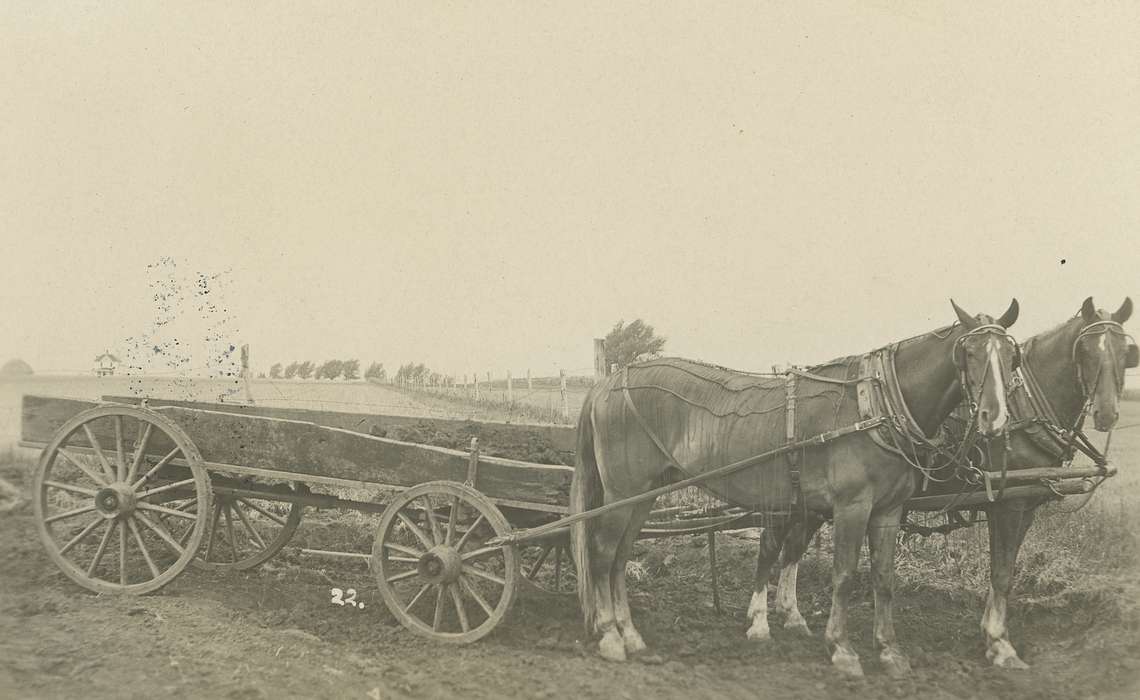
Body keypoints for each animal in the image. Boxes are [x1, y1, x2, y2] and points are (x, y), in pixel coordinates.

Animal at [574, 298, 1021, 679]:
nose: (994, 418)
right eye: (969, 353)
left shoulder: (888, 510)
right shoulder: (852, 506)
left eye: (1011, 357)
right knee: (602, 553)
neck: (873, 408)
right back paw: (611, 636)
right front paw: (842, 649)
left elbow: (884, 578)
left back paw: (631, 635)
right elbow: (844, 576)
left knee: (620, 558)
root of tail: (606, 383)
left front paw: (889, 651)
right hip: (621, 493)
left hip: (645, 495)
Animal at [766, 296, 1130, 670]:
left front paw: (990, 633)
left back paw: (791, 615)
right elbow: (1001, 573)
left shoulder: (1025, 504)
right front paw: (1000, 644)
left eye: (1126, 351)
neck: (1025, 410)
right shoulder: (1009, 504)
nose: (1106, 414)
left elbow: (1005, 569)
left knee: (791, 547)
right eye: (1085, 350)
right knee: (775, 544)